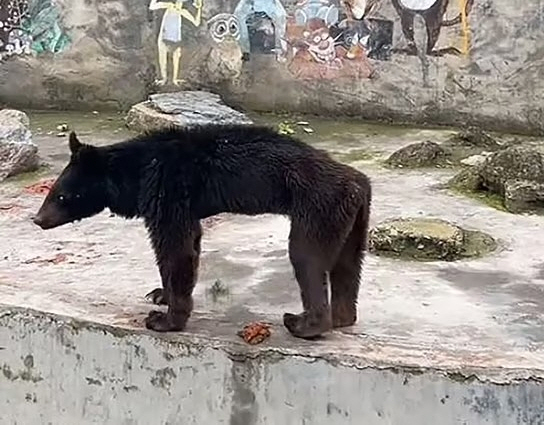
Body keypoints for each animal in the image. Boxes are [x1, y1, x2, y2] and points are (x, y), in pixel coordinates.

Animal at [34, 124, 372, 340]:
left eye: (60, 196)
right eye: (52, 192)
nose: (38, 219)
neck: (136, 173)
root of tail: (358, 182)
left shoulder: (168, 189)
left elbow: (176, 247)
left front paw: (164, 319)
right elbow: (187, 245)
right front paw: (159, 294)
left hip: (318, 206)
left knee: (307, 258)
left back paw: (303, 324)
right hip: (353, 221)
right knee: (347, 264)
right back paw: (342, 317)